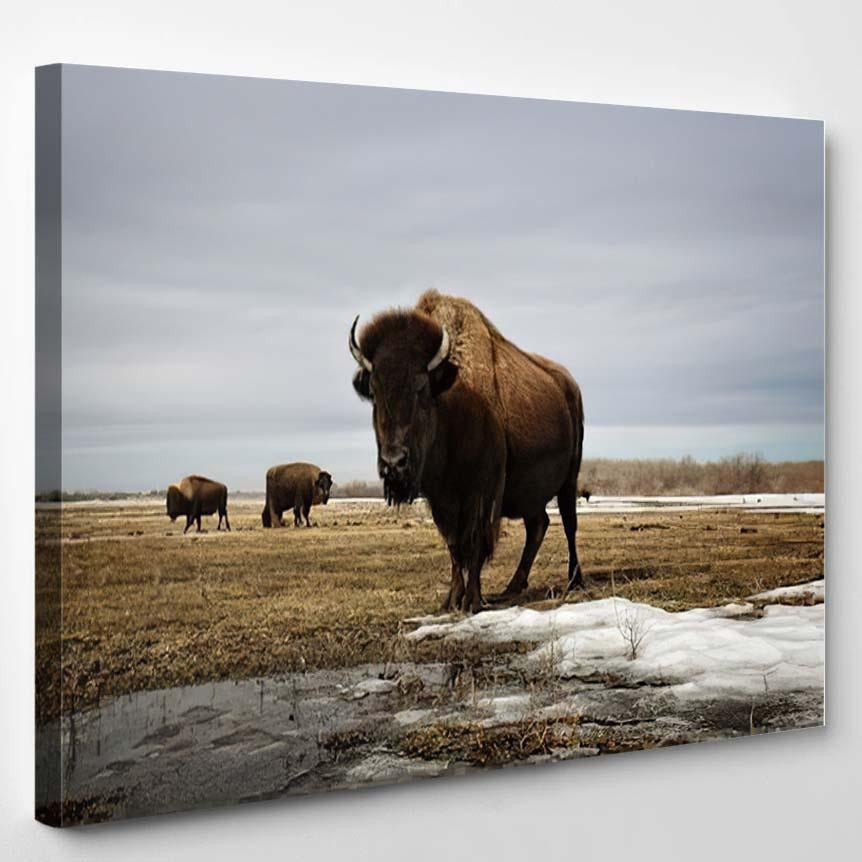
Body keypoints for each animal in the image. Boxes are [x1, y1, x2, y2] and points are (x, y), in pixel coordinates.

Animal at [349, 290, 584, 613]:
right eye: (374, 391)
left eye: (421, 388)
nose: (393, 463)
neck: (451, 401)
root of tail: (570, 386)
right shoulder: (442, 500)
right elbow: (454, 547)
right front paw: (451, 600)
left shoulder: (481, 494)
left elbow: (474, 545)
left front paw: (472, 600)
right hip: (532, 493)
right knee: (538, 525)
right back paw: (513, 586)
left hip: (569, 480)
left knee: (569, 524)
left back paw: (575, 581)